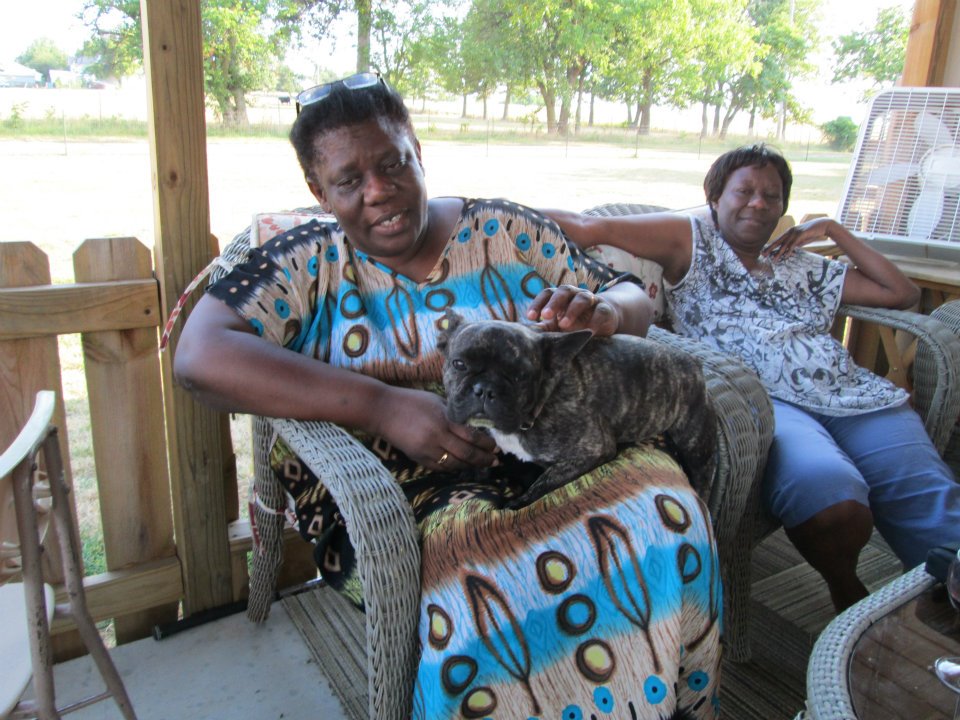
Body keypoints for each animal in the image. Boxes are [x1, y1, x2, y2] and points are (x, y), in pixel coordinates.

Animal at [438, 310, 717, 508]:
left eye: (520, 376)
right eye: (459, 364)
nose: (485, 389)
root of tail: (694, 362)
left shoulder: (590, 451)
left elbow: (544, 483)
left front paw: (516, 503)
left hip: (696, 447)